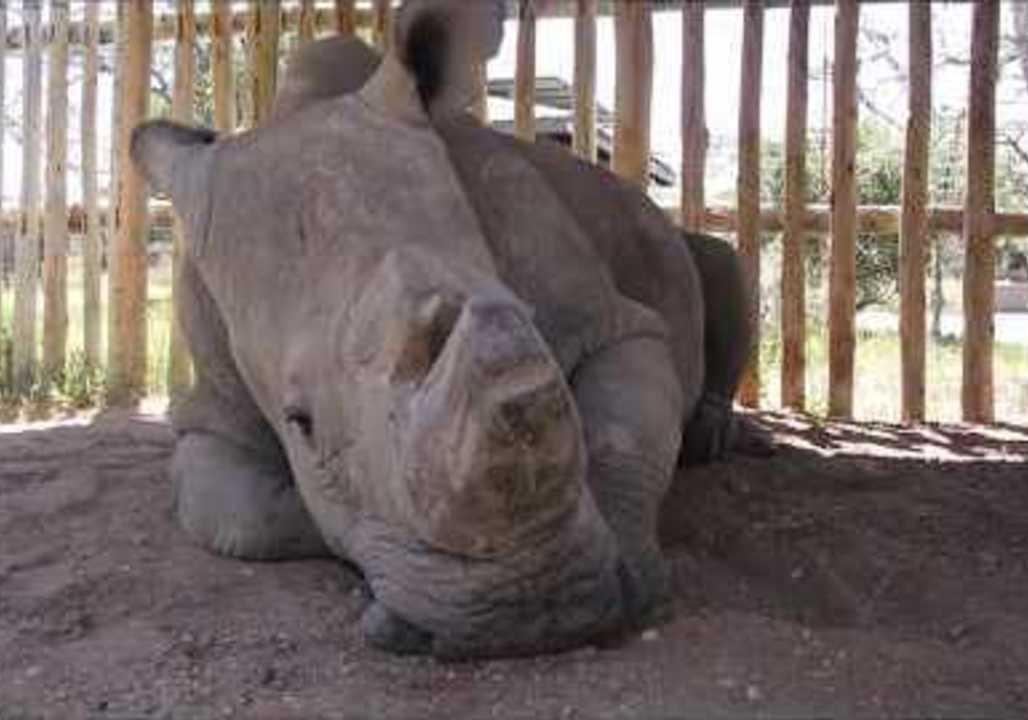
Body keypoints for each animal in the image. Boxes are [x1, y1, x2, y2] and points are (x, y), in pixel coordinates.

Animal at [132, 0, 768, 658]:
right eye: (301, 424)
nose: (534, 608)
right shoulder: (213, 393)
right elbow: (241, 514)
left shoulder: (613, 323)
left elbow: (623, 426)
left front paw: (630, 570)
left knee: (725, 262)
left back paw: (715, 437)